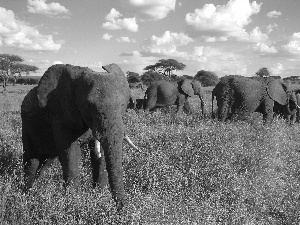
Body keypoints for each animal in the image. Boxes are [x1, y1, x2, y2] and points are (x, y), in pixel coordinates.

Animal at [20, 62, 138, 210]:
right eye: (89, 106)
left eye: (124, 105)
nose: (122, 210)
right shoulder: (60, 115)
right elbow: (69, 152)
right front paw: (73, 202)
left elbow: (99, 152)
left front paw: (98, 196)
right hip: (27, 127)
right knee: (31, 161)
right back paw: (27, 196)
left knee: (45, 162)